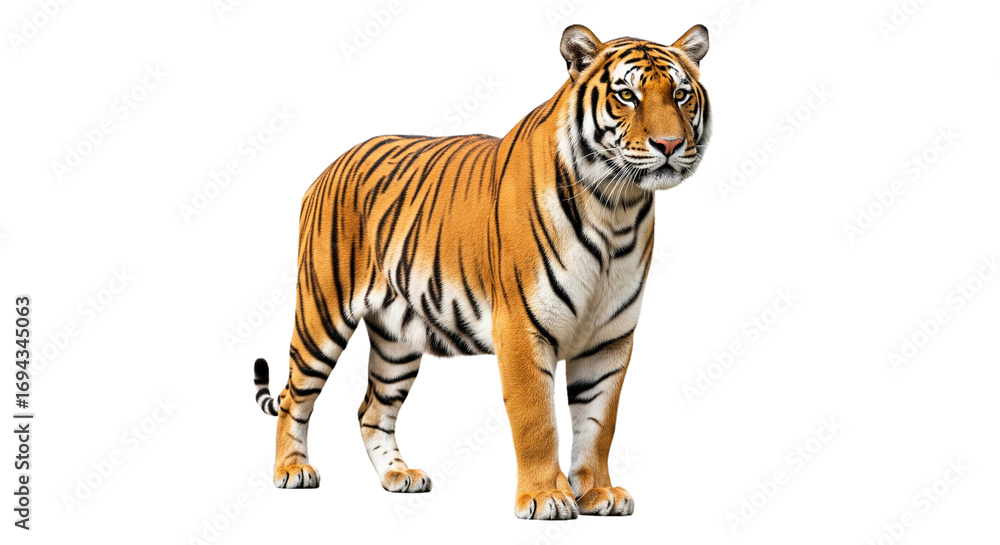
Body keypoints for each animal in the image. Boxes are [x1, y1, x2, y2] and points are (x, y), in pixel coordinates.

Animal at [253, 23, 711, 519]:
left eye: (681, 94)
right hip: (321, 314)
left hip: (398, 340)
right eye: (627, 95)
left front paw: (596, 493)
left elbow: (597, 423)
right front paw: (545, 497)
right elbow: (536, 420)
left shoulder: (609, 339)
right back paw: (292, 470)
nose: (670, 145)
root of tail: (328, 167)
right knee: (294, 397)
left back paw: (399, 476)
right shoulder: (522, 328)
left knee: (372, 410)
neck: (616, 208)